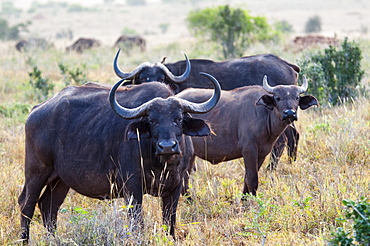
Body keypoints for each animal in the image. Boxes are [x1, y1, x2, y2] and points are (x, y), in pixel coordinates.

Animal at [18, 71, 221, 242]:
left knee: (49, 206)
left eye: (178, 119)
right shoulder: (132, 187)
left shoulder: (176, 186)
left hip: (61, 179)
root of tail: (36, 110)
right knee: (26, 204)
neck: (162, 163)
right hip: (37, 171)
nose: (167, 146)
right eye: (152, 121)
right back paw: (24, 240)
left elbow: (169, 221)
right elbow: (137, 222)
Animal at [176, 76, 318, 197]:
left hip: (192, 155)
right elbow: (252, 179)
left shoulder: (262, 154)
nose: (290, 113)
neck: (264, 114)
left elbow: (247, 179)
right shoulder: (249, 151)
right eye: (278, 98)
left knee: (185, 179)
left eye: (297, 98)